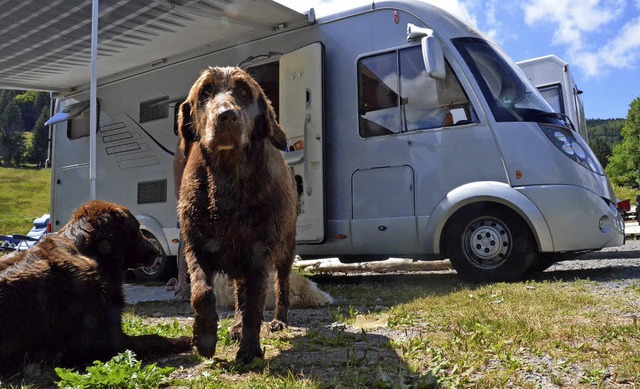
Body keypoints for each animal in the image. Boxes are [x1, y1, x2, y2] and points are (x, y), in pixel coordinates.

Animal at [0, 200, 191, 372]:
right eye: (136, 229)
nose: (157, 252)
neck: (88, 251)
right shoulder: (110, 340)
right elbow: (154, 338)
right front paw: (184, 340)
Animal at [176, 66, 298, 360]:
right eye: (205, 92)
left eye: (244, 91)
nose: (227, 115)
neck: (227, 176)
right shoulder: (197, 246)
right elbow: (202, 293)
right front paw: (205, 337)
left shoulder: (258, 252)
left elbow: (254, 301)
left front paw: (250, 348)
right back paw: (236, 327)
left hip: (286, 247)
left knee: (282, 285)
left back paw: (278, 321)